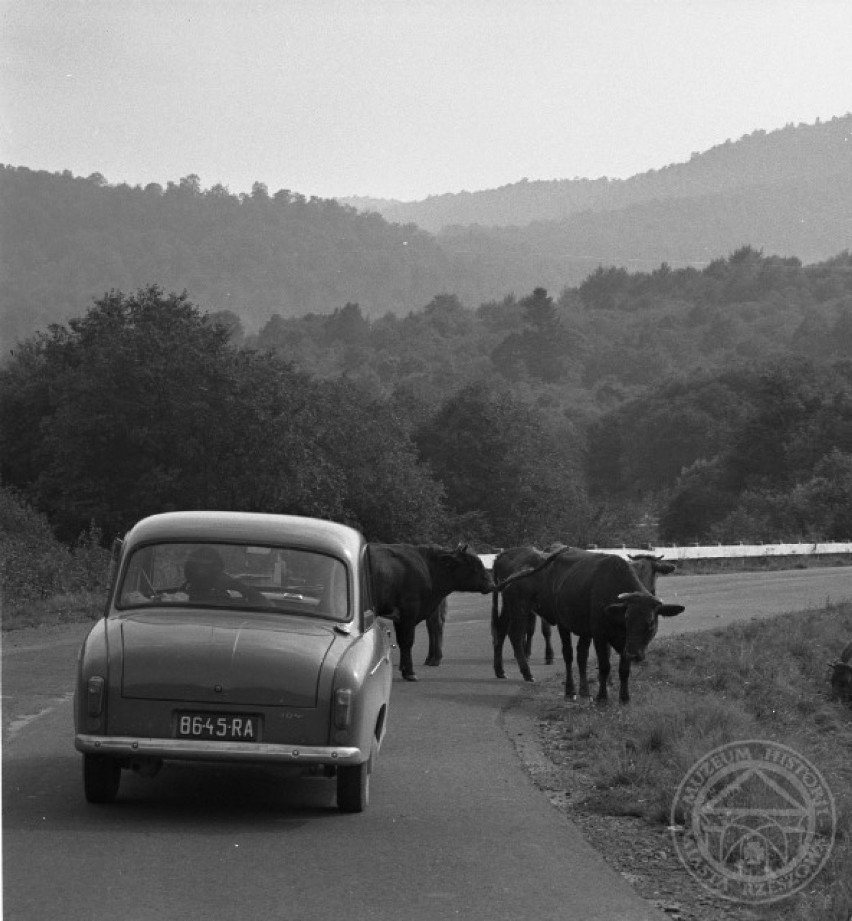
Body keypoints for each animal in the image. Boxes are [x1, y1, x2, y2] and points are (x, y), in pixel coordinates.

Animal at [370, 544, 496, 680]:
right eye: (473, 565)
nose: (492, 584)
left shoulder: (402, 615)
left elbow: (403, 642)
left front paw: (406, 670)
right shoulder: (408, 611)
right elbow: (406, 641)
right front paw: (409, 672)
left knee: (434, 625)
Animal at [492, 548, 684, 704]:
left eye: (650, 623)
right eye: (627, 618)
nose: (634, 654)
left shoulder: (623, 641)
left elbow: (623, 669)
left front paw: (624, 698)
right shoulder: (600, 635)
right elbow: (604, 665)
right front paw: (602, 697)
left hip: (511, 608)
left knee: (501, 631)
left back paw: (500, 670)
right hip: (528, 611)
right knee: (529, 640)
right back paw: (547, 681)